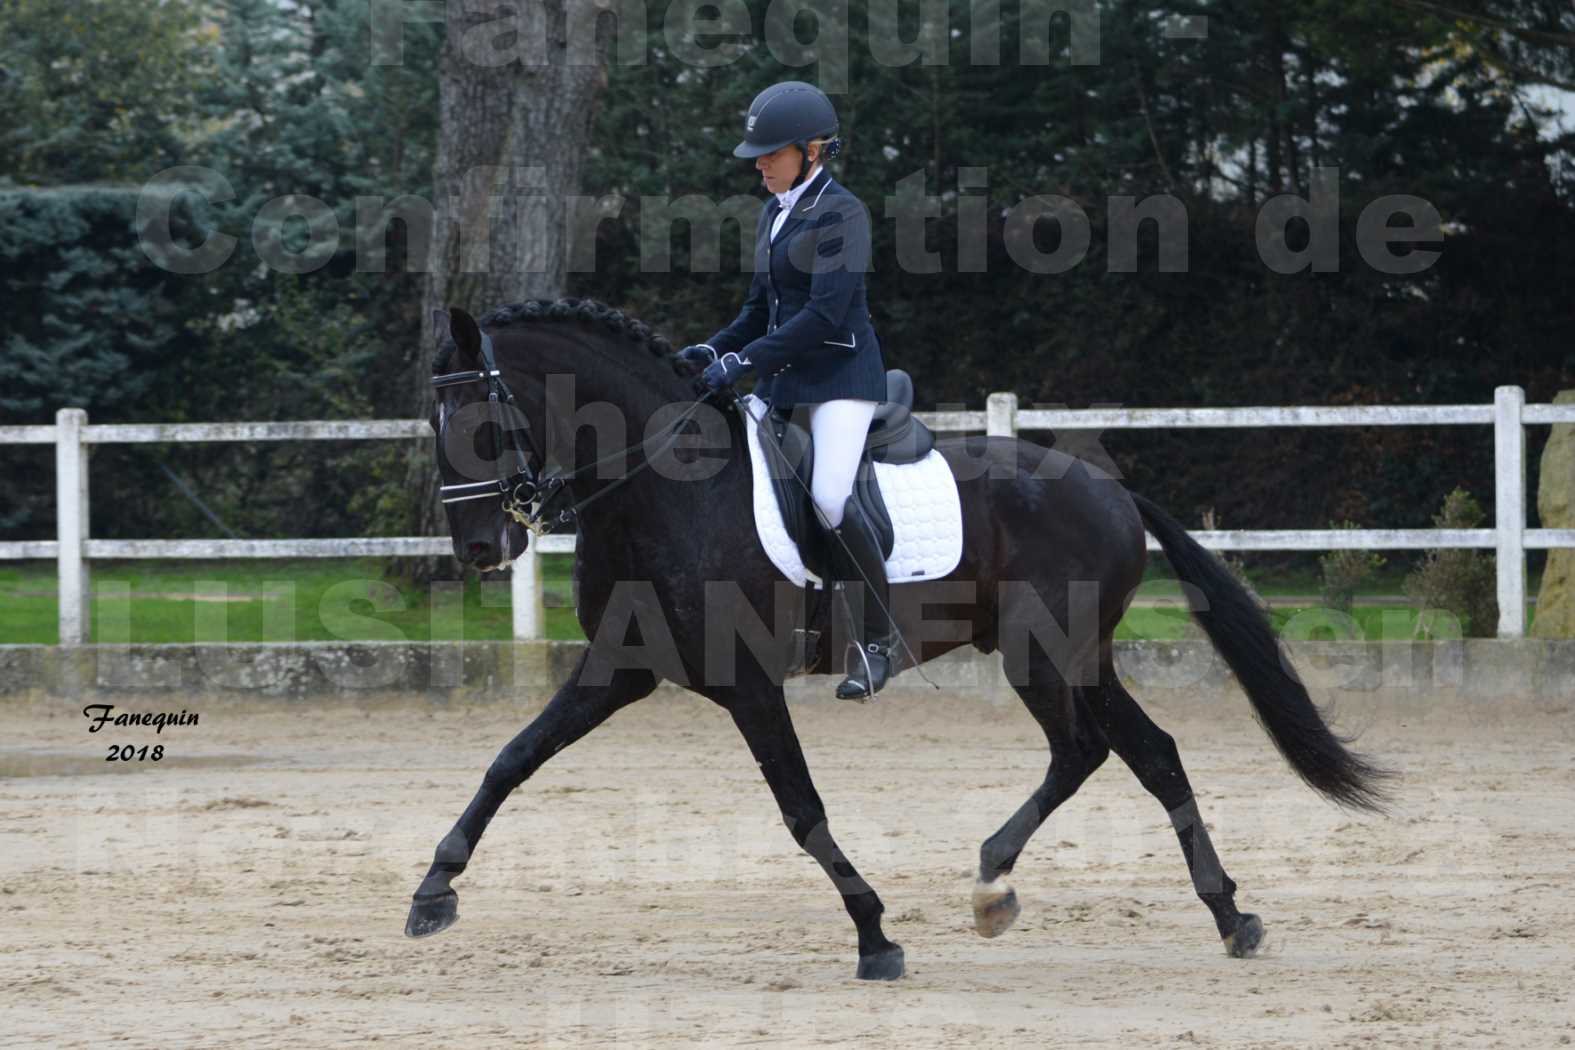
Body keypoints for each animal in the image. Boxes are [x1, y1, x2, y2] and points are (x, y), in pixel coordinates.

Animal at [409, 299, 1392, 982]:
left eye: (485, 420)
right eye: (431, 424)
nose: (480, 550)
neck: (662, 489)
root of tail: (1109, 487)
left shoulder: (747, 685)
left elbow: (802, 811)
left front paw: (875, 937)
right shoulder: (621, 665)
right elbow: (510, 760)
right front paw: (430, 895)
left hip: (1044, 654)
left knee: (1090, 750)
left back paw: (1017, 884)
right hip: (1076, 658)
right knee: (1144, 754)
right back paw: (1213, 915)